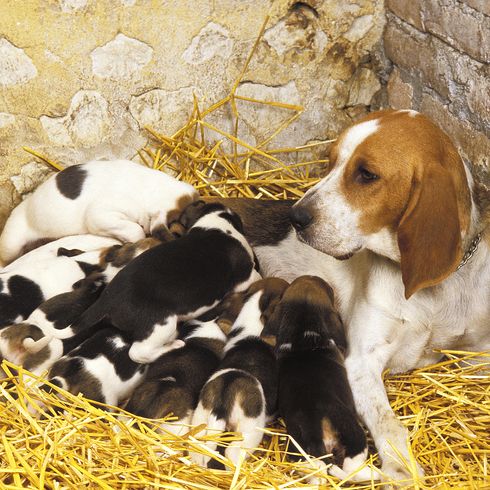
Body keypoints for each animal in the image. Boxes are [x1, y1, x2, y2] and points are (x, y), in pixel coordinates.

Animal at [44, 199, 262, 364]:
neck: (216, 224)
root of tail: (106, 300)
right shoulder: (244, 277)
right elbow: (255, 277)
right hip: (161, 324)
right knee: (138, 353)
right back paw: (173, 345)